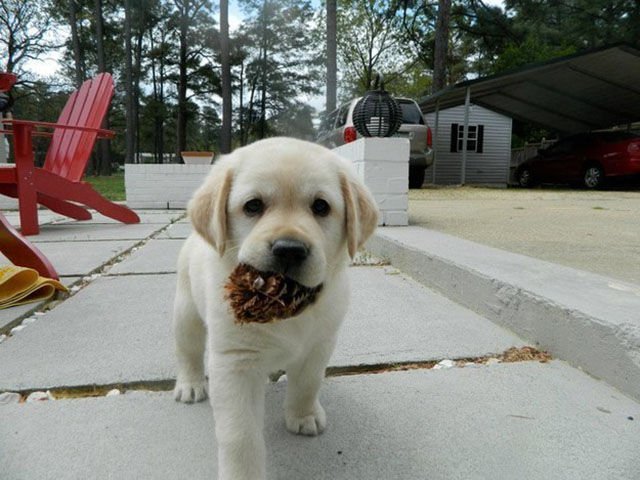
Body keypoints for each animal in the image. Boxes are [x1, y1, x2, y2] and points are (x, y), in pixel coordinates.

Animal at [172, 137, 379, 480]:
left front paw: (303, 415)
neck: (285, 305)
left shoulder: (320, 345)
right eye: (253, 206)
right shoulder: (235, 363)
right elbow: (240, 435)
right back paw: (189, 385)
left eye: (321, 206)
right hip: (186, 311)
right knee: (188, 351)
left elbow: (308, 383)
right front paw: (242, 475)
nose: (289, 250)